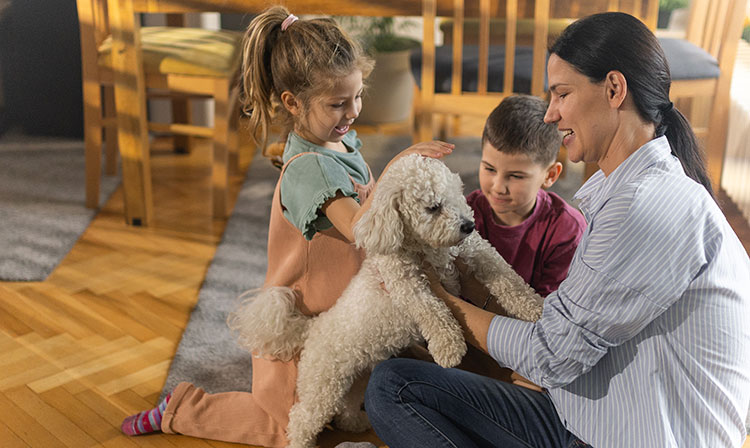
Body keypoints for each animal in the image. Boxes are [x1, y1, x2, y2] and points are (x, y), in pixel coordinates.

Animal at [228, 154, 540, 448]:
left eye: (457, 196)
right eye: (433, 207)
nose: (468, 225)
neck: (427, 248)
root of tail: (312, 328)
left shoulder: (477, 252)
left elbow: (509, 280)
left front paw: (536, 309)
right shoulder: (405, 284)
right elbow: (432, 309)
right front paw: (448, 346)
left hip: (357, 377)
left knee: (346, 411)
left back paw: (359, 424)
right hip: (323, 385)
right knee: (302, 420)